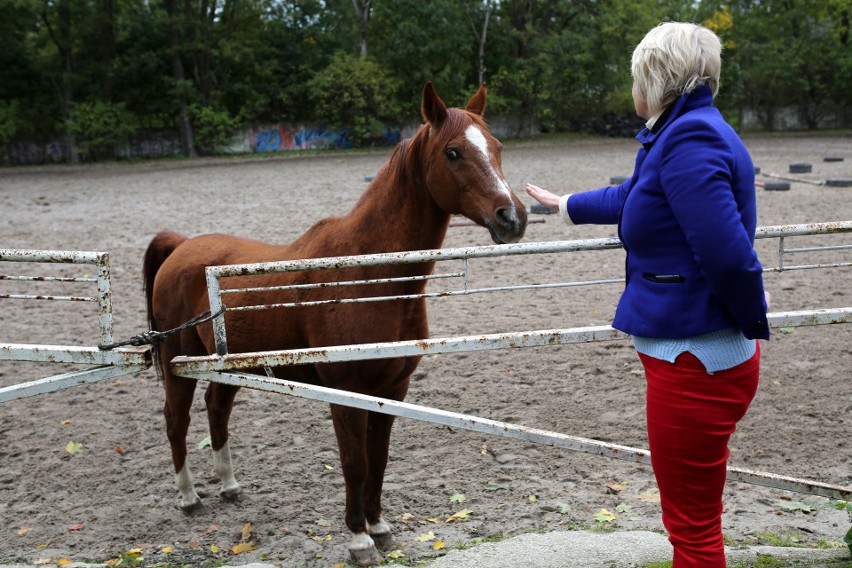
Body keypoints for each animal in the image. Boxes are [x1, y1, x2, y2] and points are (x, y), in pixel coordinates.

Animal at [143, 82, 524, 564]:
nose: (512, 217)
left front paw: (380, 527)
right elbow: (355, 463)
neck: (365, 275)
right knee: (176, 420)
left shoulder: (392, 389)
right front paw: (359, 540)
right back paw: (189, 497)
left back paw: (229, 486)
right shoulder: (346, 391)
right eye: (453, 152)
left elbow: (379, 459)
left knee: (217, 409)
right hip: (180, 363)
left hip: (226, 365)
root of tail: (180, 247)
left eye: (497, 147)